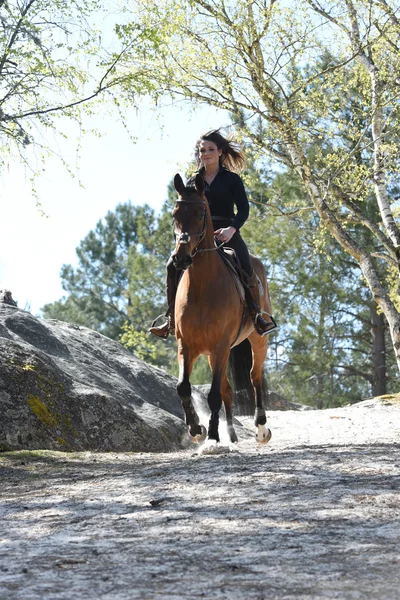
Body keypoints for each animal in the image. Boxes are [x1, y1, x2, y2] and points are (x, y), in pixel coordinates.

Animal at [172, 173, 272, 446]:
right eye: (174, 214)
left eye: (200, 213)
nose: (181, 258)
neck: (202, 287)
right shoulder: (187, 345)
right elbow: (183, 387)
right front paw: (197, 429)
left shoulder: (220, 345)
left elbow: (214, 394)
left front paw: (212, 436)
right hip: (213, 353)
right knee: (228, 388)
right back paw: (232, 433)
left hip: (257, 339)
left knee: (255, 377)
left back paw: (261, 428)